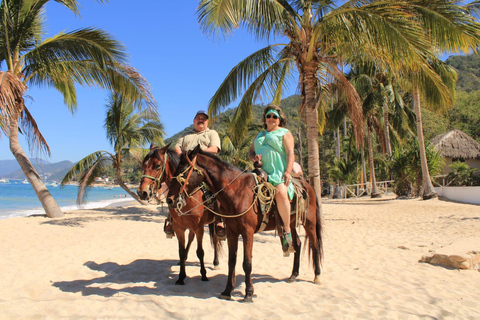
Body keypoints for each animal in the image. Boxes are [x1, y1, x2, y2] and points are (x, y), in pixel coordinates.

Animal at [138, 144, 222, 284]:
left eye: (157, 165)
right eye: (143, 165)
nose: (142, 192)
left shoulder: (199, 228)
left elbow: (200, 252)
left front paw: (204, 275)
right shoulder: (179, 228)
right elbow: (181, 251)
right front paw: (181, 276)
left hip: (213, 222)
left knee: (215, 239)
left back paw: (216, 262)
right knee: (191, 239)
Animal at [167, 146, 324, 302]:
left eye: (183, 170)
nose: (170, 199)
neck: (237, 191)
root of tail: (307, 185)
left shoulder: (248, 232)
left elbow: (247, 263)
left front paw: (248, 293)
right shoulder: (232, 232)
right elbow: (232, 261)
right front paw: (227, 290)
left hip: (309, 222)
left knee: (315, 245)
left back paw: (317, 275)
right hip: (290, 224)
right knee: (297, 244)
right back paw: (293, 275)